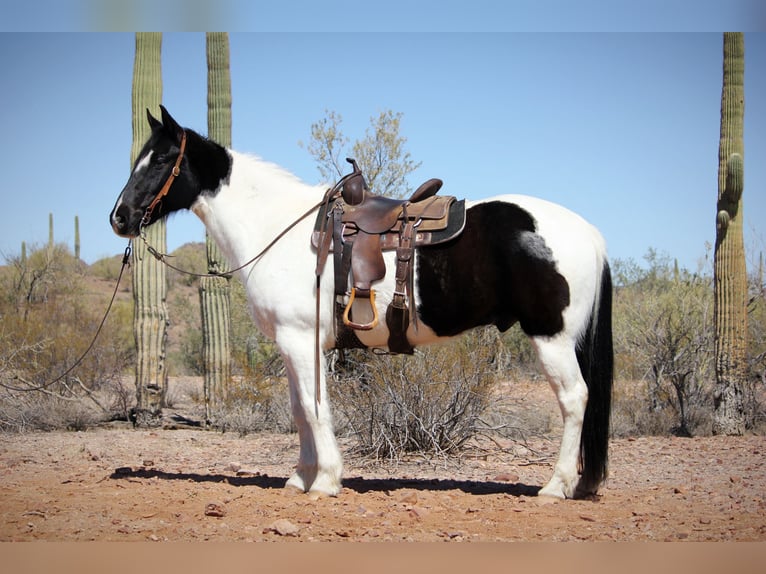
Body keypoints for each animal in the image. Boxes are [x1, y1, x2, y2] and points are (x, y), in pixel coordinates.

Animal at [111, 106, 616, 502]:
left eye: (160, 160)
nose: (119, 218)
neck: (276, 226)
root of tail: (589, 233)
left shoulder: (300, 339)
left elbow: (314, 406)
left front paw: (326, 481)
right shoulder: (293, 345)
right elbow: (300, 409)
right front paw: (300, 477)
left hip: (552, 338)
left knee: (575, 399)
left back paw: (555, 486)